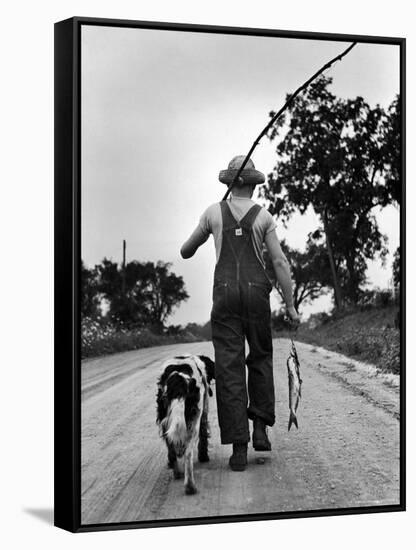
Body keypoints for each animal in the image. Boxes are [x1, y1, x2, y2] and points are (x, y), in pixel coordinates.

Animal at [156, 356, 214, 498]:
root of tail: (179, 380)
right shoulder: (203, 415)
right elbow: (204, 437)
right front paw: (204, 457)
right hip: (194, 422)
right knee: (188, 453)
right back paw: (190, 486)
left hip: (165, 420)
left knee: (172, 449)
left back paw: (178, 473)